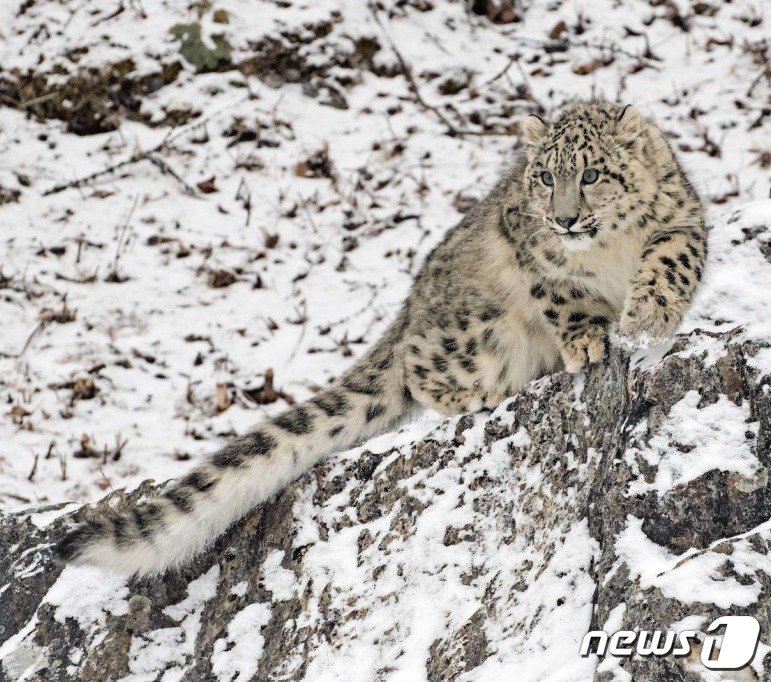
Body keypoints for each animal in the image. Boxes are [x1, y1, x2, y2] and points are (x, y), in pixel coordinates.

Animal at [55, 101, 704, 572]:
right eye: (545, 177)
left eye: (591, 173)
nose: (565, 219)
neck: (606, 252)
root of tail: (409, 308)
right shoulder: (536, 258)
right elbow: (565, 295)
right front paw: (593, 339)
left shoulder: (681, 222)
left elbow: (670, 262)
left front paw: (645, 318)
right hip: (477, 337)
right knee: (421, 371)